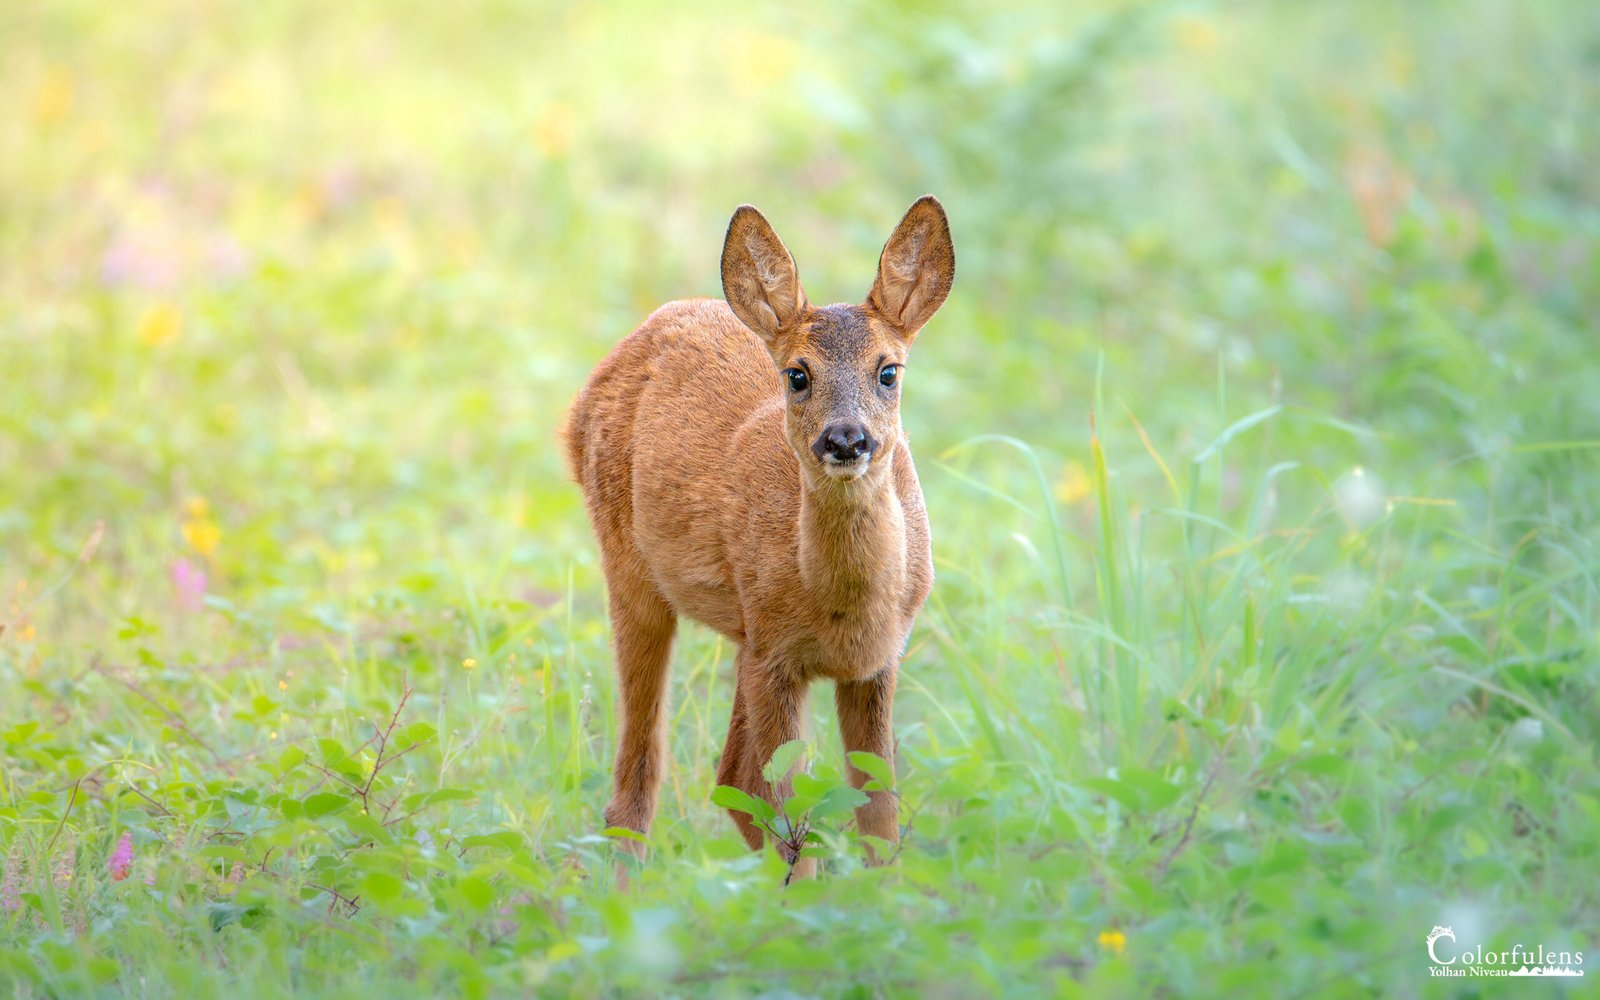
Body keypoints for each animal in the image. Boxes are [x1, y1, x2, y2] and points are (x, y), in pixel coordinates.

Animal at [569, 195, 953, 870]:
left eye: (889, 371)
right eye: (798, 374)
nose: (846, 439)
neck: (843, 608)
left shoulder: (876, 660)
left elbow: (878, 815)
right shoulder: (777, 658)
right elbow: (792, 812)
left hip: (742, 636)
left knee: (731, 780)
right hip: (634, 575)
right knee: (638, 788)